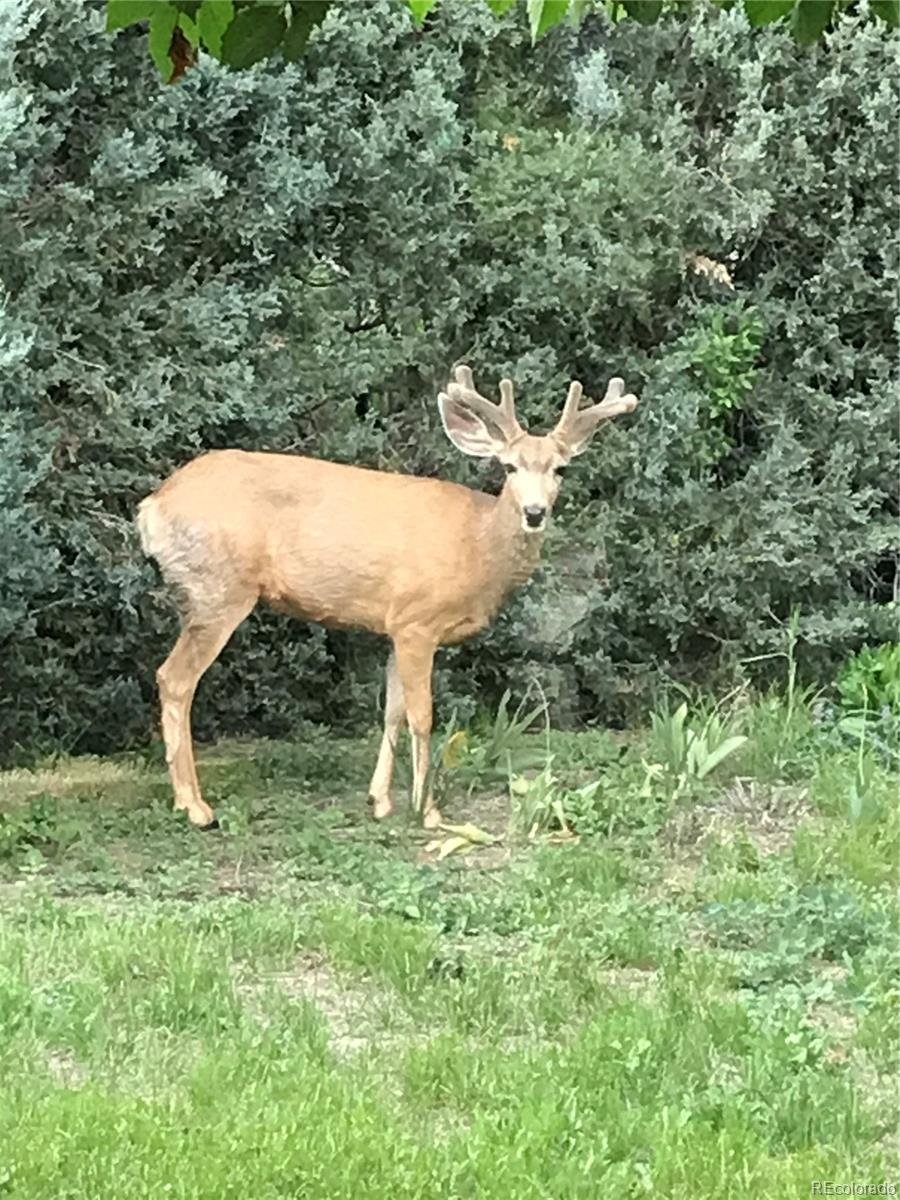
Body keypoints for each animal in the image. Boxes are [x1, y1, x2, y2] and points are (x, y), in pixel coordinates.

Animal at [137, 364, 638, 830]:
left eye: (560, 468)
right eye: (510, 466)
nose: (535, 512)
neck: (476, 545)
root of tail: (152, 507)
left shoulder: (394, 626)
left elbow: (391, 711)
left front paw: (380, 799)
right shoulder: (418, 620)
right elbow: (422, 715)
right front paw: (427, 808)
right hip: (219, 588)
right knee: (174, 678)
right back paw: (195, 806)